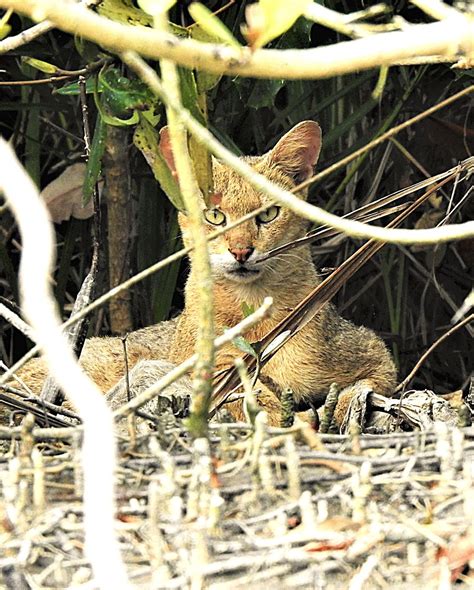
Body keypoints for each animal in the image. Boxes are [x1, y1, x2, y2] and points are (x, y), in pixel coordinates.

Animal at [10, 121, 396, 426]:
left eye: (268, 214)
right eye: (214, 216)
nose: (240, 251)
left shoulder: (373, 352)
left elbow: (367, 384)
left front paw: (343, 409)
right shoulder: (209, 369)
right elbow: (252, 400)